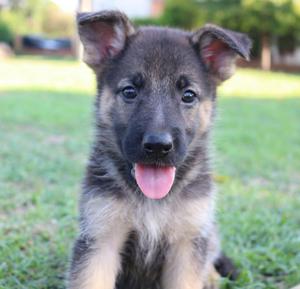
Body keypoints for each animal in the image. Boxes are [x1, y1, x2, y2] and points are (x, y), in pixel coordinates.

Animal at [67, 10, 251, 288]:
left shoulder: (187, 243)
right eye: (129, 91)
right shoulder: (100, 238)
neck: (151, 201)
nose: (158, 146)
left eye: (188, 95)